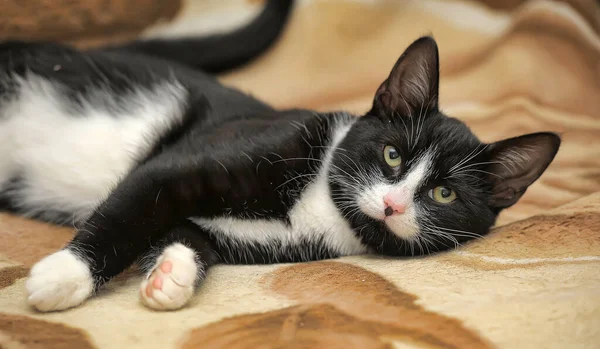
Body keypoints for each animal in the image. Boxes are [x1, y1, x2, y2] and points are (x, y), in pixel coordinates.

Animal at [1, 0, 564, 310]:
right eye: (392, 156)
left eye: (444, 194)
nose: (393, 205)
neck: (322, 208)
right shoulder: (196, 156)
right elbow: (131, 208)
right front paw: (65, 275)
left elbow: (183, 233)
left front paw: (171, 276)